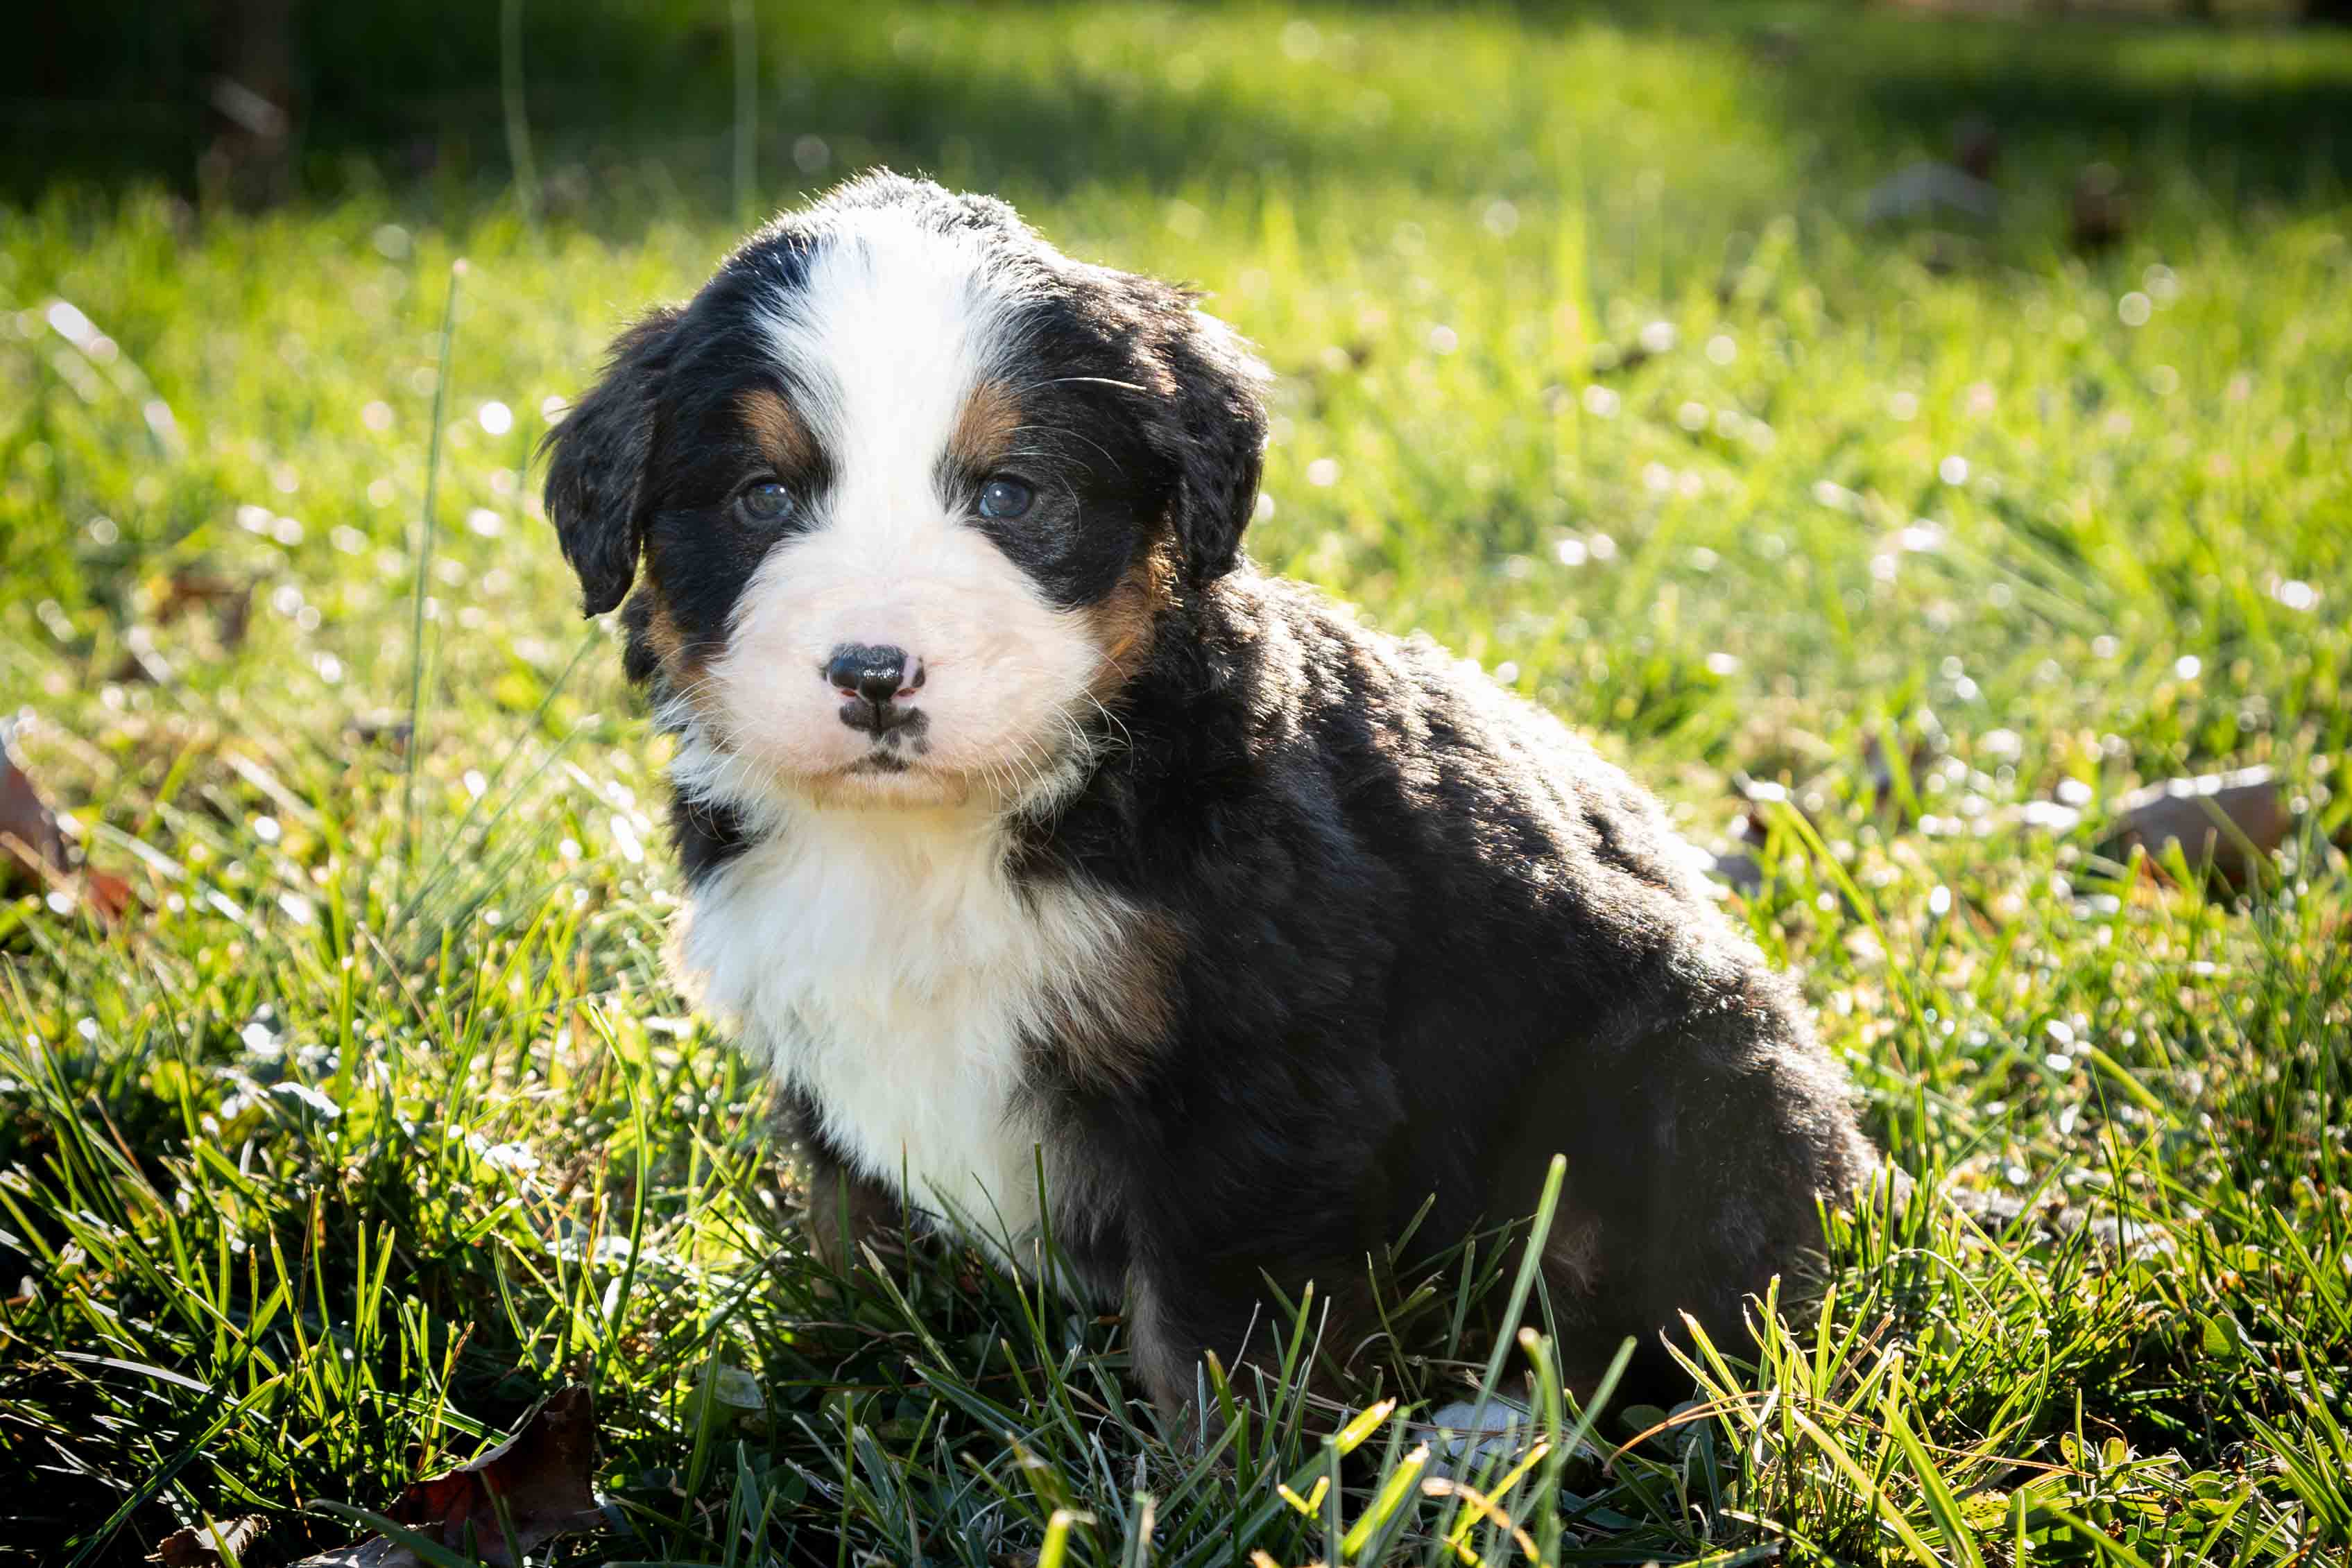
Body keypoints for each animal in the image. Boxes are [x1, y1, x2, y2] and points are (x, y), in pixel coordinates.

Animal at [545, 171, 1872, 1420]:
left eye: (1010, 493)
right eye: (763, 498)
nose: (874, 673)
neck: (925, 845)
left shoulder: (1248, 1074)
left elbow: (1213, 1331)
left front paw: (1234, 1475)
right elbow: (848, 1226)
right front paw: (842, 1356)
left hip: (1673, 1080)